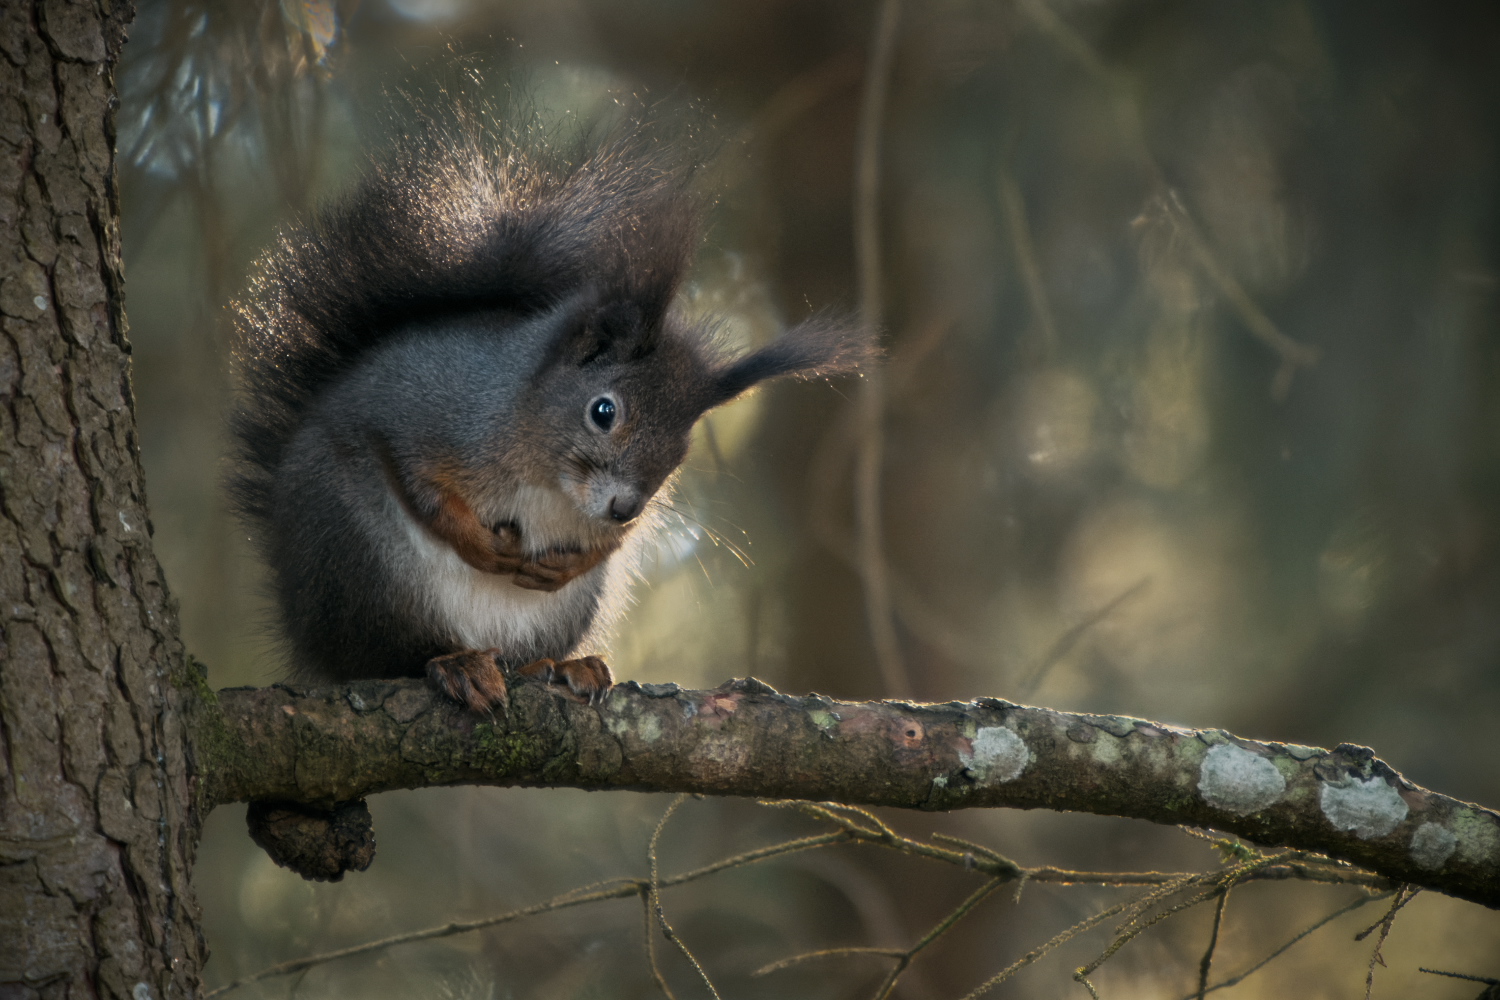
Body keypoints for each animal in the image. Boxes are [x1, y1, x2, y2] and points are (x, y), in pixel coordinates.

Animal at [227, 106, 874, 712]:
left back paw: (561, 666)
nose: (623, 506)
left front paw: (579, 556)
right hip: (362, 564)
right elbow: (418, 481)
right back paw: (455, 663)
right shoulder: (421, 408)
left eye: (683, 447)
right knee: (390, 656)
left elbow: (614, 544)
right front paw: (480, 543)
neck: (544, 468)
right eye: (603, 411)